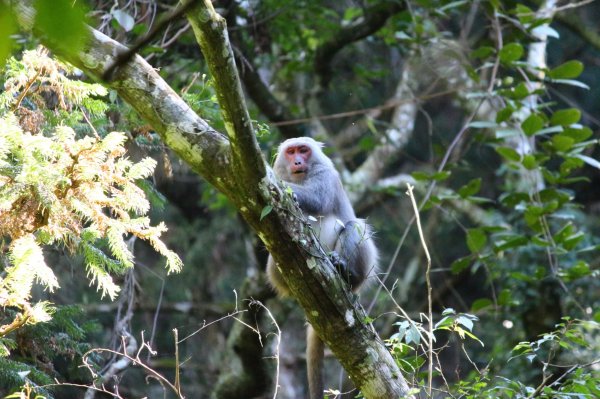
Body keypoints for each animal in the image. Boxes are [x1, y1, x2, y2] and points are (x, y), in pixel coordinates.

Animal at [266, 137, 378, 399]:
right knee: (273, 259)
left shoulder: (325, 173)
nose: (297, 161)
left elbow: (317, 199)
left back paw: (345, 271)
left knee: (353, 226)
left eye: (303, 151)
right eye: (291, 152)